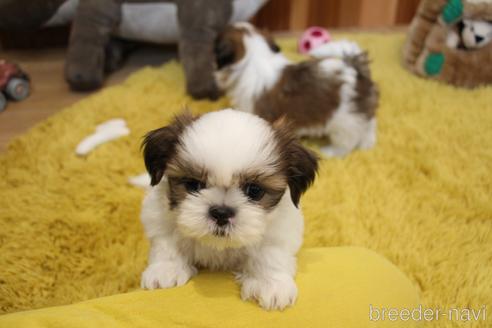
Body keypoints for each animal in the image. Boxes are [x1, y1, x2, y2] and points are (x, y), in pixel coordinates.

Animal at [138, 109, 320, 310]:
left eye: (254, 190)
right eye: (193, 185)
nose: (221, 213)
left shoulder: (280, 229)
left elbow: (270, 253)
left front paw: (270, 283)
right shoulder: (161, 218)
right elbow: (168, 242)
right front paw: (165, 269)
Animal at [213, 22, 378, 158]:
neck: (254, 58)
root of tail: (355, 68)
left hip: (344, 121)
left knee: (347, 141)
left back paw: (331, 151)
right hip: (359, 111)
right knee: (369, 124)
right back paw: (367, 144)